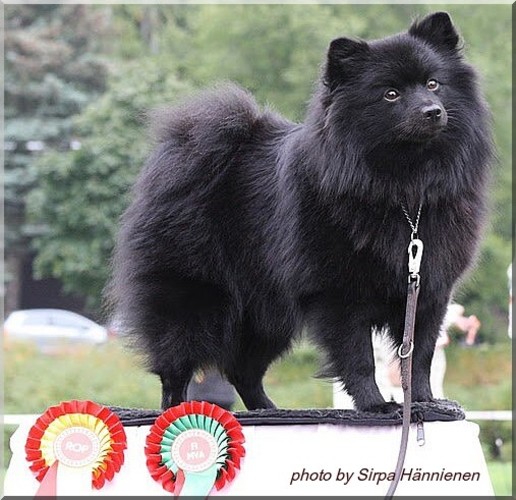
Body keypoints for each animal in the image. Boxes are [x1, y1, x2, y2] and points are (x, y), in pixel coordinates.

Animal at [110, 11, 492, 412]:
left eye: (434, 84)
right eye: (391, 94)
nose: (432, 111)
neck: (404, 191)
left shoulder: (428, 291)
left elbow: (419, 356)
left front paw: (426, 402)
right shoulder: (339, 295)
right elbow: (359, 359)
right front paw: (375, 405)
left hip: (265, 315)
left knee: (243, 369)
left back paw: (268, 409)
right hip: (194, 300)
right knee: (177, 367)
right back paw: (177, 410)